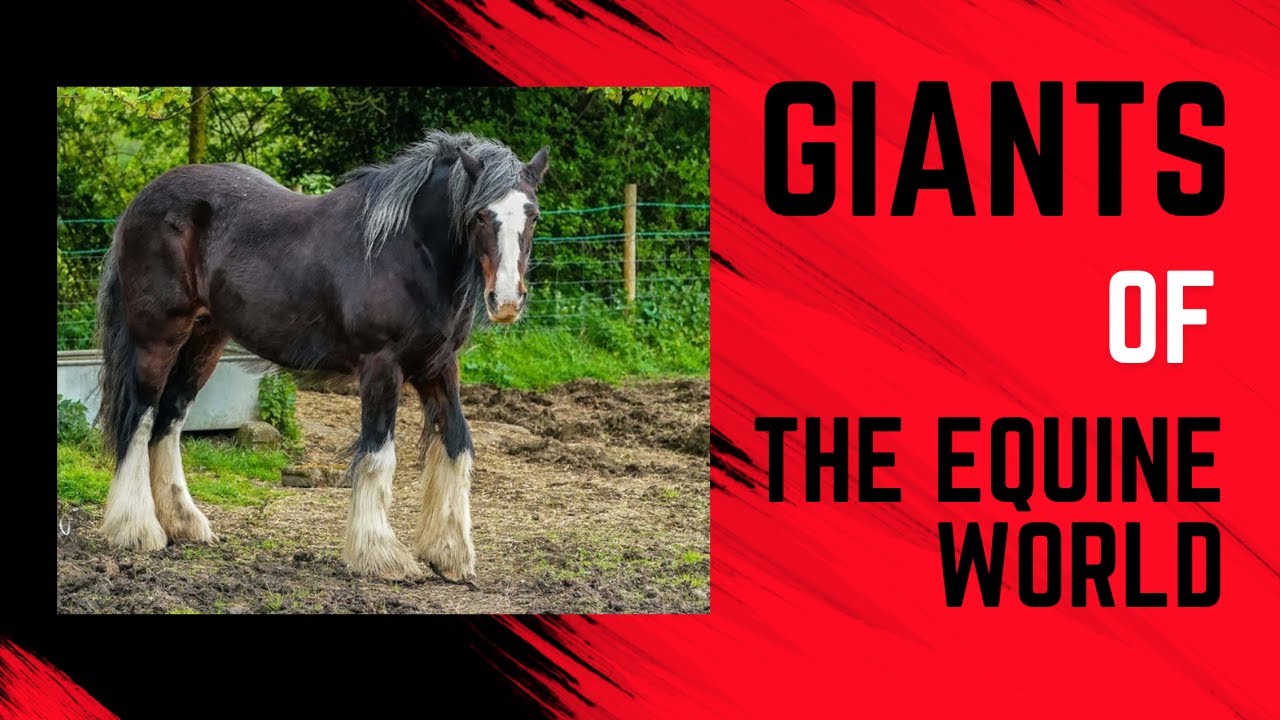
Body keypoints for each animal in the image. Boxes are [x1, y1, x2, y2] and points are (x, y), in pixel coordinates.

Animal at [94, 130, 549, 582]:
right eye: (480, 215)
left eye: (533, 216)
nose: (506, 301)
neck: (406, 248)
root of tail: (143, 199)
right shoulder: (382, 366)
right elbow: (378, 454)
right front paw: (380, 555)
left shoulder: (438, 366)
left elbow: (457, 445)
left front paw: (449, 553)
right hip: (158, 337)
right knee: (140, 418)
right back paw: (137, 529)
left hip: (204, 340)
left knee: (169, 421)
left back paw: (184, 523)